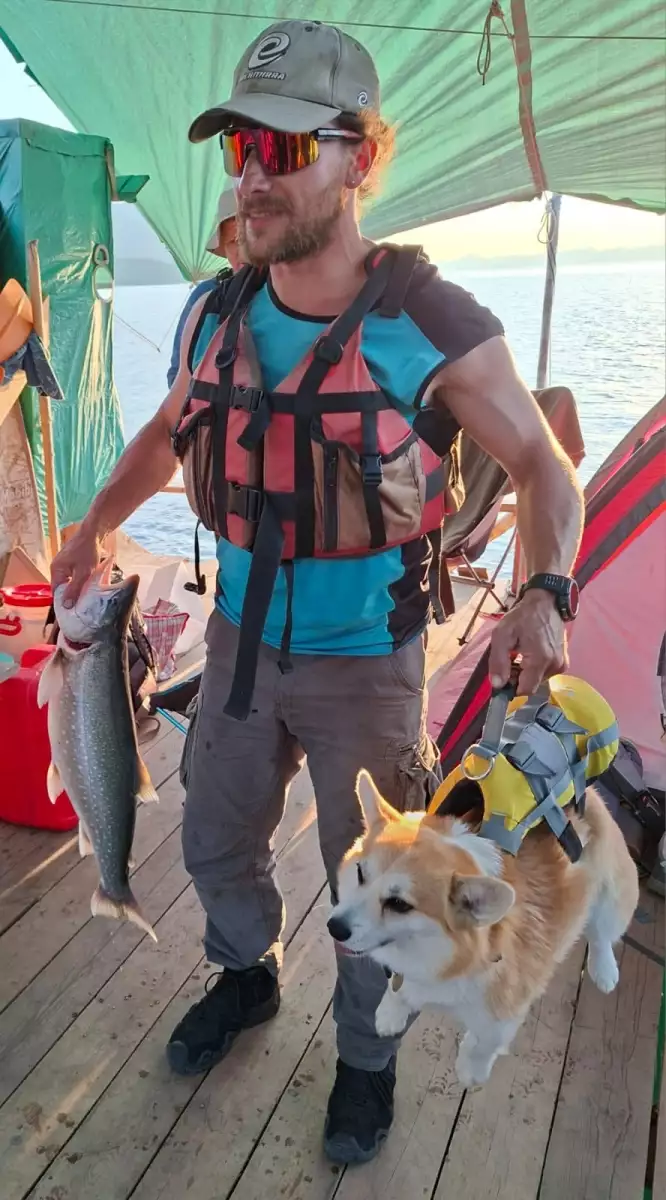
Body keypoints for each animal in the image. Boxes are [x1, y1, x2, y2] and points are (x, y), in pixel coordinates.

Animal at [328, 770, 639, 1088]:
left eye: (399, 904)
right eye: (360, 873)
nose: (334, 928)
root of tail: (589, 796)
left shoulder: (504, 1014)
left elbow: (485, 1044)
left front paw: (471, 1070)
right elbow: (398, 989)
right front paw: (390, 1013)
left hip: (611, 900)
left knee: (601, 934)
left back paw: (604, 971)